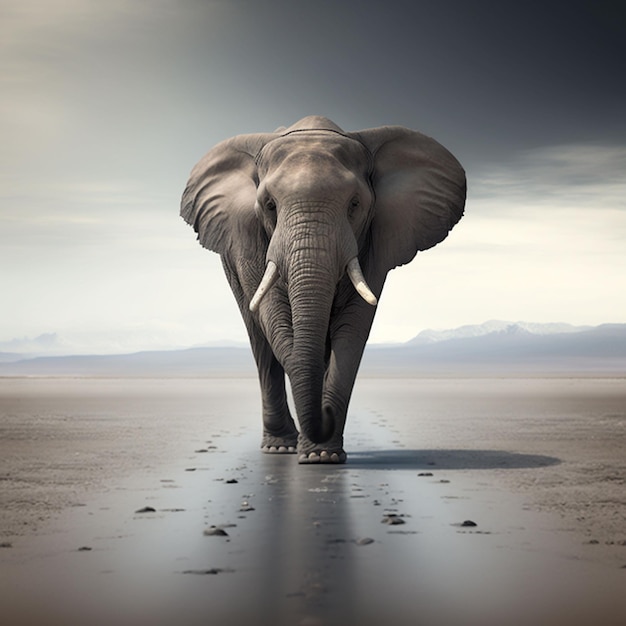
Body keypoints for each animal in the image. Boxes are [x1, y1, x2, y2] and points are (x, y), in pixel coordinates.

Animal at [180, 116, 464, 464]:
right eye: (269, 205)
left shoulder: (376, 237)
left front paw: (323, 456)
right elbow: (274, 317)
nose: (324, 414)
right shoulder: (247, 235)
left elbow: (353, 327)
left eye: (355, 204)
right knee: (259, 339)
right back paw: (279, 447)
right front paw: (313, 453)